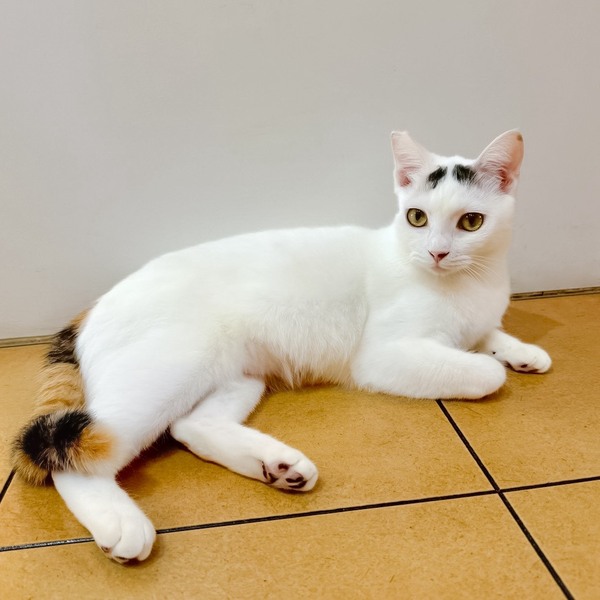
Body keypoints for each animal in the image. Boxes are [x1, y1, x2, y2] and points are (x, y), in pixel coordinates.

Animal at [12, 130, 551, 563]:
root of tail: (92, 307)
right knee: (70, 459)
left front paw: (521, 351)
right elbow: (483, 371)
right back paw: (122, 524)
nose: (437, 253)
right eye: (416, 217)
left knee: (190, 426)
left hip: (236, 374)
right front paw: (491, 362)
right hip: (164, 373)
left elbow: (489, 334)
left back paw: (278, 466)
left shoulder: (478, 315)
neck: (468, 283)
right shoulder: (385, 356)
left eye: (471, 222)